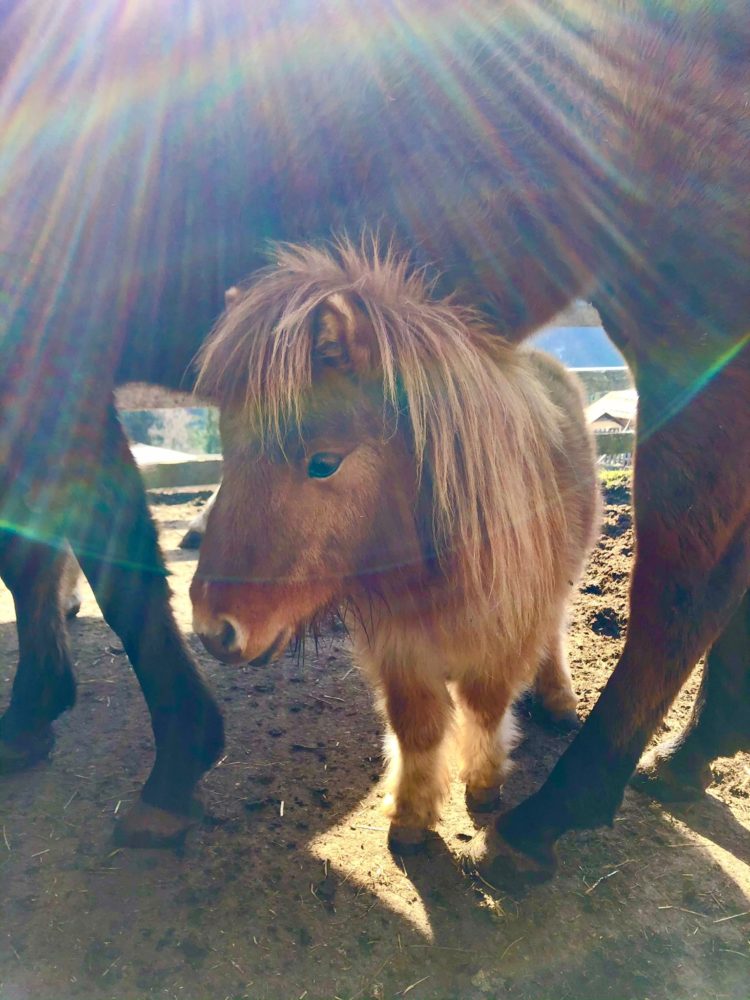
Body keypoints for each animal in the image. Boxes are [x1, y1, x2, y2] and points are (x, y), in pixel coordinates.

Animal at [192, 242, 600, 852]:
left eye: (323, 462)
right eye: (228, 450)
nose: (213, 630)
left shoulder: (502, 634)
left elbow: (485, 705)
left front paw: (484, 781)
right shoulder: (400, 649)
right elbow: (417, 726)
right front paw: (411, 813)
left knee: (554, 629)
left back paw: (557, 697)